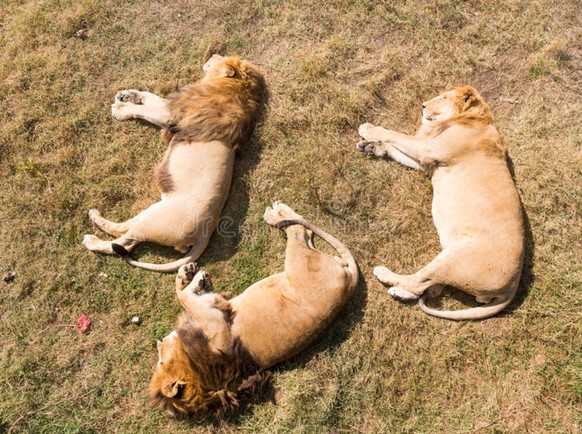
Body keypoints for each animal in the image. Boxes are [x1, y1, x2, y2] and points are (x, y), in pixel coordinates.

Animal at [82, 54, 266, 272]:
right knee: (124, 231)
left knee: (123, 243)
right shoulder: (171, 106)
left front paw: (121, 108)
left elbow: (146, 109)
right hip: (153, 211)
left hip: (154, 220)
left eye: (221, 57)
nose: (213, 55)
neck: (233, 87)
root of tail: (205, 233)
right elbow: (150, 97)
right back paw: (95, 217)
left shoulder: (170, 115)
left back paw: (92, 239)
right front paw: (127, 94)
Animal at [149, 202, 360, 416]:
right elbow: (185, 297)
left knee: (302, 229)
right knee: (298, 230)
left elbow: (182, 293)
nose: (157, 341)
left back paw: (276, 213)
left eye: (159, 361)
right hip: (299, 260)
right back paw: (275, 214)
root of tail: (350, 283)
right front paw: (195, 279)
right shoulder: (215, 315)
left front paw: (186, 274)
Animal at [358, 85, 528, 322]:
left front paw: (368, 130)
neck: (474, 118)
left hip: (453, 259)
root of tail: (511, 287)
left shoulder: (428, 149)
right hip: (447, 253)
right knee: (428, 287)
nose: (423, 105)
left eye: (444, 97)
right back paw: (401, 293)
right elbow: (395, 148)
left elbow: (395, 135)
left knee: (418, 282)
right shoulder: (426, 162)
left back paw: (385, 276)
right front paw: (372, 148)